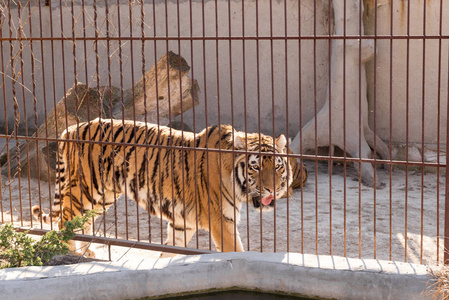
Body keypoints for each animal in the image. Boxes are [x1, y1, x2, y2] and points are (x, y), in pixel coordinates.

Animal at [32, 118, 304, 256]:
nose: (271, 190)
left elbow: (171, 252)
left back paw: (87, 253)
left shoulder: (183, 223)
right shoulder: (222, 220)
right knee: (65, 221)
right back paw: (71, 255)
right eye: (256, 167)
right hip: (86, 191)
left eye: (277, 167)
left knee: (82, 221)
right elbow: (236, 251)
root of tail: (69, 129)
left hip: (103, 196)